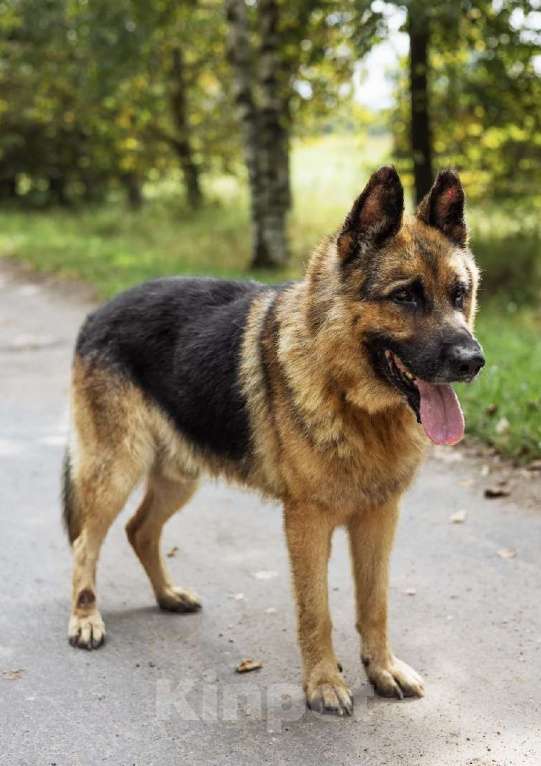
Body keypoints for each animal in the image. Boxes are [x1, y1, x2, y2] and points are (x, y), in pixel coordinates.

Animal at [62, 168, 480, 720]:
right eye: (406, 296)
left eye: (459, 294)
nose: (473, 361)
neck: (350, 398)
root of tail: (98, 312)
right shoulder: (307, 522)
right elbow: (316, 610)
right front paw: (323, 683)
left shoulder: (379, 516)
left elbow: (375, 604)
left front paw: (382, 669)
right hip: (116, 469)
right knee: (86, 543)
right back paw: (85, 617)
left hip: (178, 477)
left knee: (139, 531)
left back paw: (168, 595)